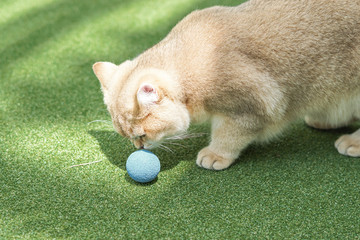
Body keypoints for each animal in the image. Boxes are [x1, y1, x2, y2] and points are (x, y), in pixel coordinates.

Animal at [93, 0, 360, 172]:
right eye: (126, 136)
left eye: (141, 135)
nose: (138, 147)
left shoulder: (248, 107)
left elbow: (228, 135)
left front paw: (215, 154)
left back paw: (351, 141)